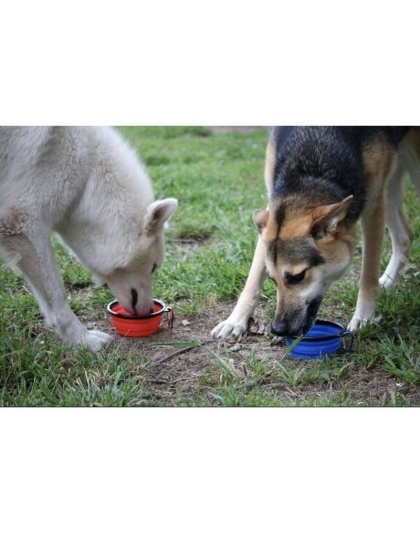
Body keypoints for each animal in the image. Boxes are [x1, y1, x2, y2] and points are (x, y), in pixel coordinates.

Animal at [0, 125, 177, 352]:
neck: (87, 175)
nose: (148, 312)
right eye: (154, 267)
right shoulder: (23, 222)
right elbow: (57, 297)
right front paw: (81, 339)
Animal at [213, 126, 420, 340]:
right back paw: (388, 280)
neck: (313, 169)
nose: (277, 329)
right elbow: (253, 279)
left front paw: (364, 318)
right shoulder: (272, 209)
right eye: (272, 279)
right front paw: (235, 320)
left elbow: (368, 275)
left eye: (298, 276)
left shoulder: (373, 206)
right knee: (405, 236)